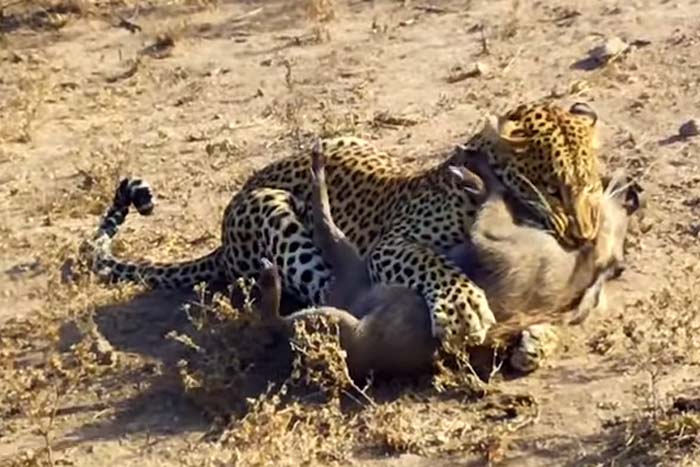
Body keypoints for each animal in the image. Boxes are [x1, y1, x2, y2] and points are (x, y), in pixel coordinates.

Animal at [84, 100, 604, 348]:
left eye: (591, 184)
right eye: (553, 186)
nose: (585, 235)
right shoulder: (392, 245)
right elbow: (435, 265)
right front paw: (462, 311)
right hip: (272, 212)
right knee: (328, 288)